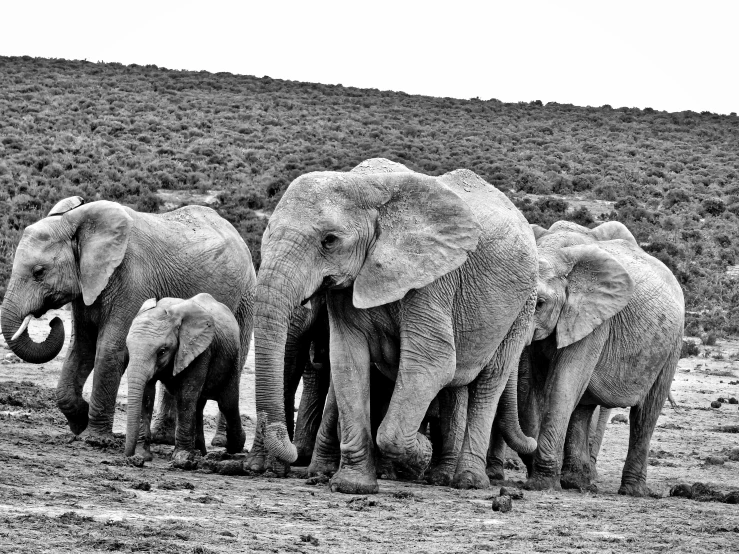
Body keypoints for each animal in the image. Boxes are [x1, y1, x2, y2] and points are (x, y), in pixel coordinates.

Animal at [0, 196, 254, 442]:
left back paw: (220, 443)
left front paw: (94, 439)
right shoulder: (87, 285)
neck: (76, 221)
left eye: (39, 271)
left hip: (246, 296)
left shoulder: (132, 281)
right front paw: (80, 420)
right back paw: (162, 439)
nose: (54, 321)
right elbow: (81, 347)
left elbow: (110, 349)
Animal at [124, 292, 246, 464]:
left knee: (227, 403)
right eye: (128, 348)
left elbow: (186, 396)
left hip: (233, 357)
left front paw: (181, 458)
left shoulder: (200, 350)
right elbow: (146, 394)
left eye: (162, 351)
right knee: (200, 404)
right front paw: (143, 455)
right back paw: (199, 452)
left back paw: (233, 448)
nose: (129, 457)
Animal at [253, 156, 536, 492]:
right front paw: (353, 486)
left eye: (329, 241)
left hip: (523, 306)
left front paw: (421, 452)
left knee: (490, 380)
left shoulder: (433, 278)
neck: (366, 187)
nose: (293, 452)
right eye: (267, 232)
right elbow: (347, 360)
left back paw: (468, 481)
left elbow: (433, 363)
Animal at [512, 218, 684, 494]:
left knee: (645, 413)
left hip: (672, 344)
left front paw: (541, 485)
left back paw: (632, 492)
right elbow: (537, 386)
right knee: (584, 405)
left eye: (540, 303)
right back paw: (577, 483)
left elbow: (561, 386)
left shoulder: (596, 322)